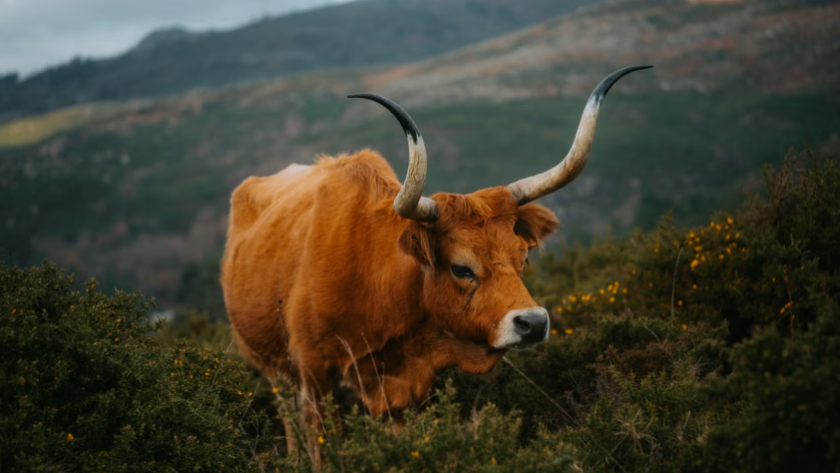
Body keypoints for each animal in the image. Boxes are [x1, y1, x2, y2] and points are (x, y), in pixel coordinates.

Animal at [221, 65, 651, 441]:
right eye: (461, 268)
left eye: (523, 258)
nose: (533, 323)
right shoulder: (314, 379)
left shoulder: (403, 397)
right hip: (274, 371)